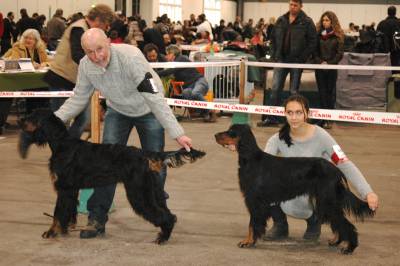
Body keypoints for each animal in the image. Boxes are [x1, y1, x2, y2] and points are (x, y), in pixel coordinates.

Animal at [18, 108, 206, 243]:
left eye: (33, 116)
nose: (20, 120)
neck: (62, 145)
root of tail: (144, 154)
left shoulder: (64, 188)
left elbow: (57, 213)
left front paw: (51, 232)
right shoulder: (71, 189)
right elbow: (68, 211)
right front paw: (65, 229)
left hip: (139, 192)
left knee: (163, 215)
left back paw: (162, 238)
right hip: (152, 190)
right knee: (169, 212)